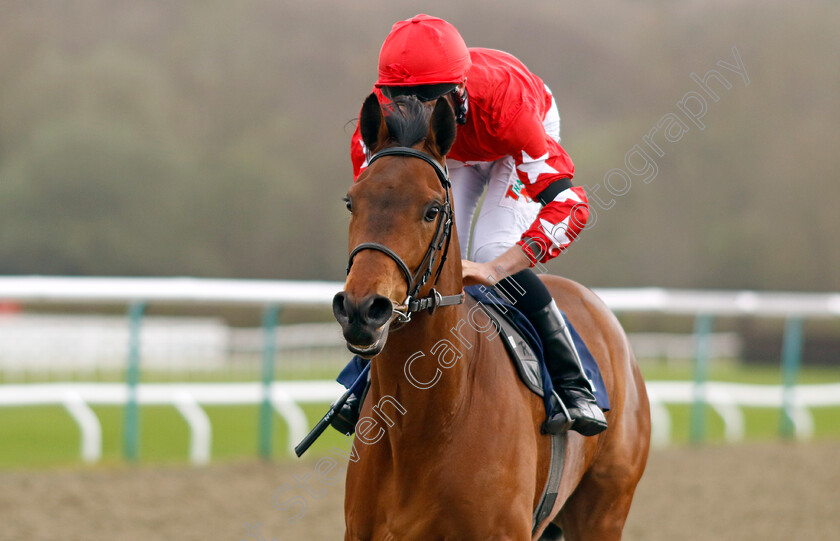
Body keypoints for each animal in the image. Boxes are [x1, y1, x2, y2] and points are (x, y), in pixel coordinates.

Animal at [332, 94, 652, 540]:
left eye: (432, 209)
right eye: (351, 202)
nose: (362, 309)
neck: (421, 424)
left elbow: (566, 197)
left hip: (605, 510)